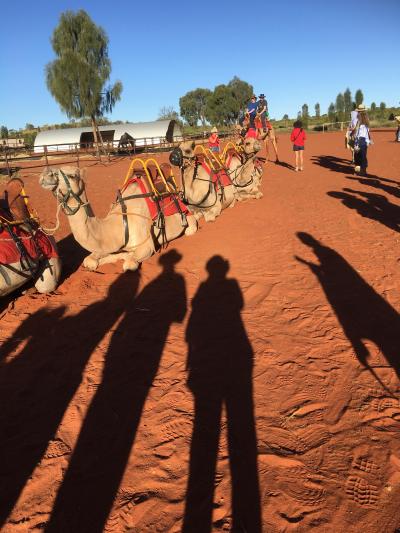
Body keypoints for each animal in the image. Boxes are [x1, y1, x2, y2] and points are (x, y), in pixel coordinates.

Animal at [38, 166, 198, 272]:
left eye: (72, 176)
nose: (46, 174)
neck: (119, 225)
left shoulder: (145, 245)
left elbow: (129, 263)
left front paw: (125, 256)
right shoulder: (106, 245)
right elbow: (89, 260)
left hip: (188, 219)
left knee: (191, 226)